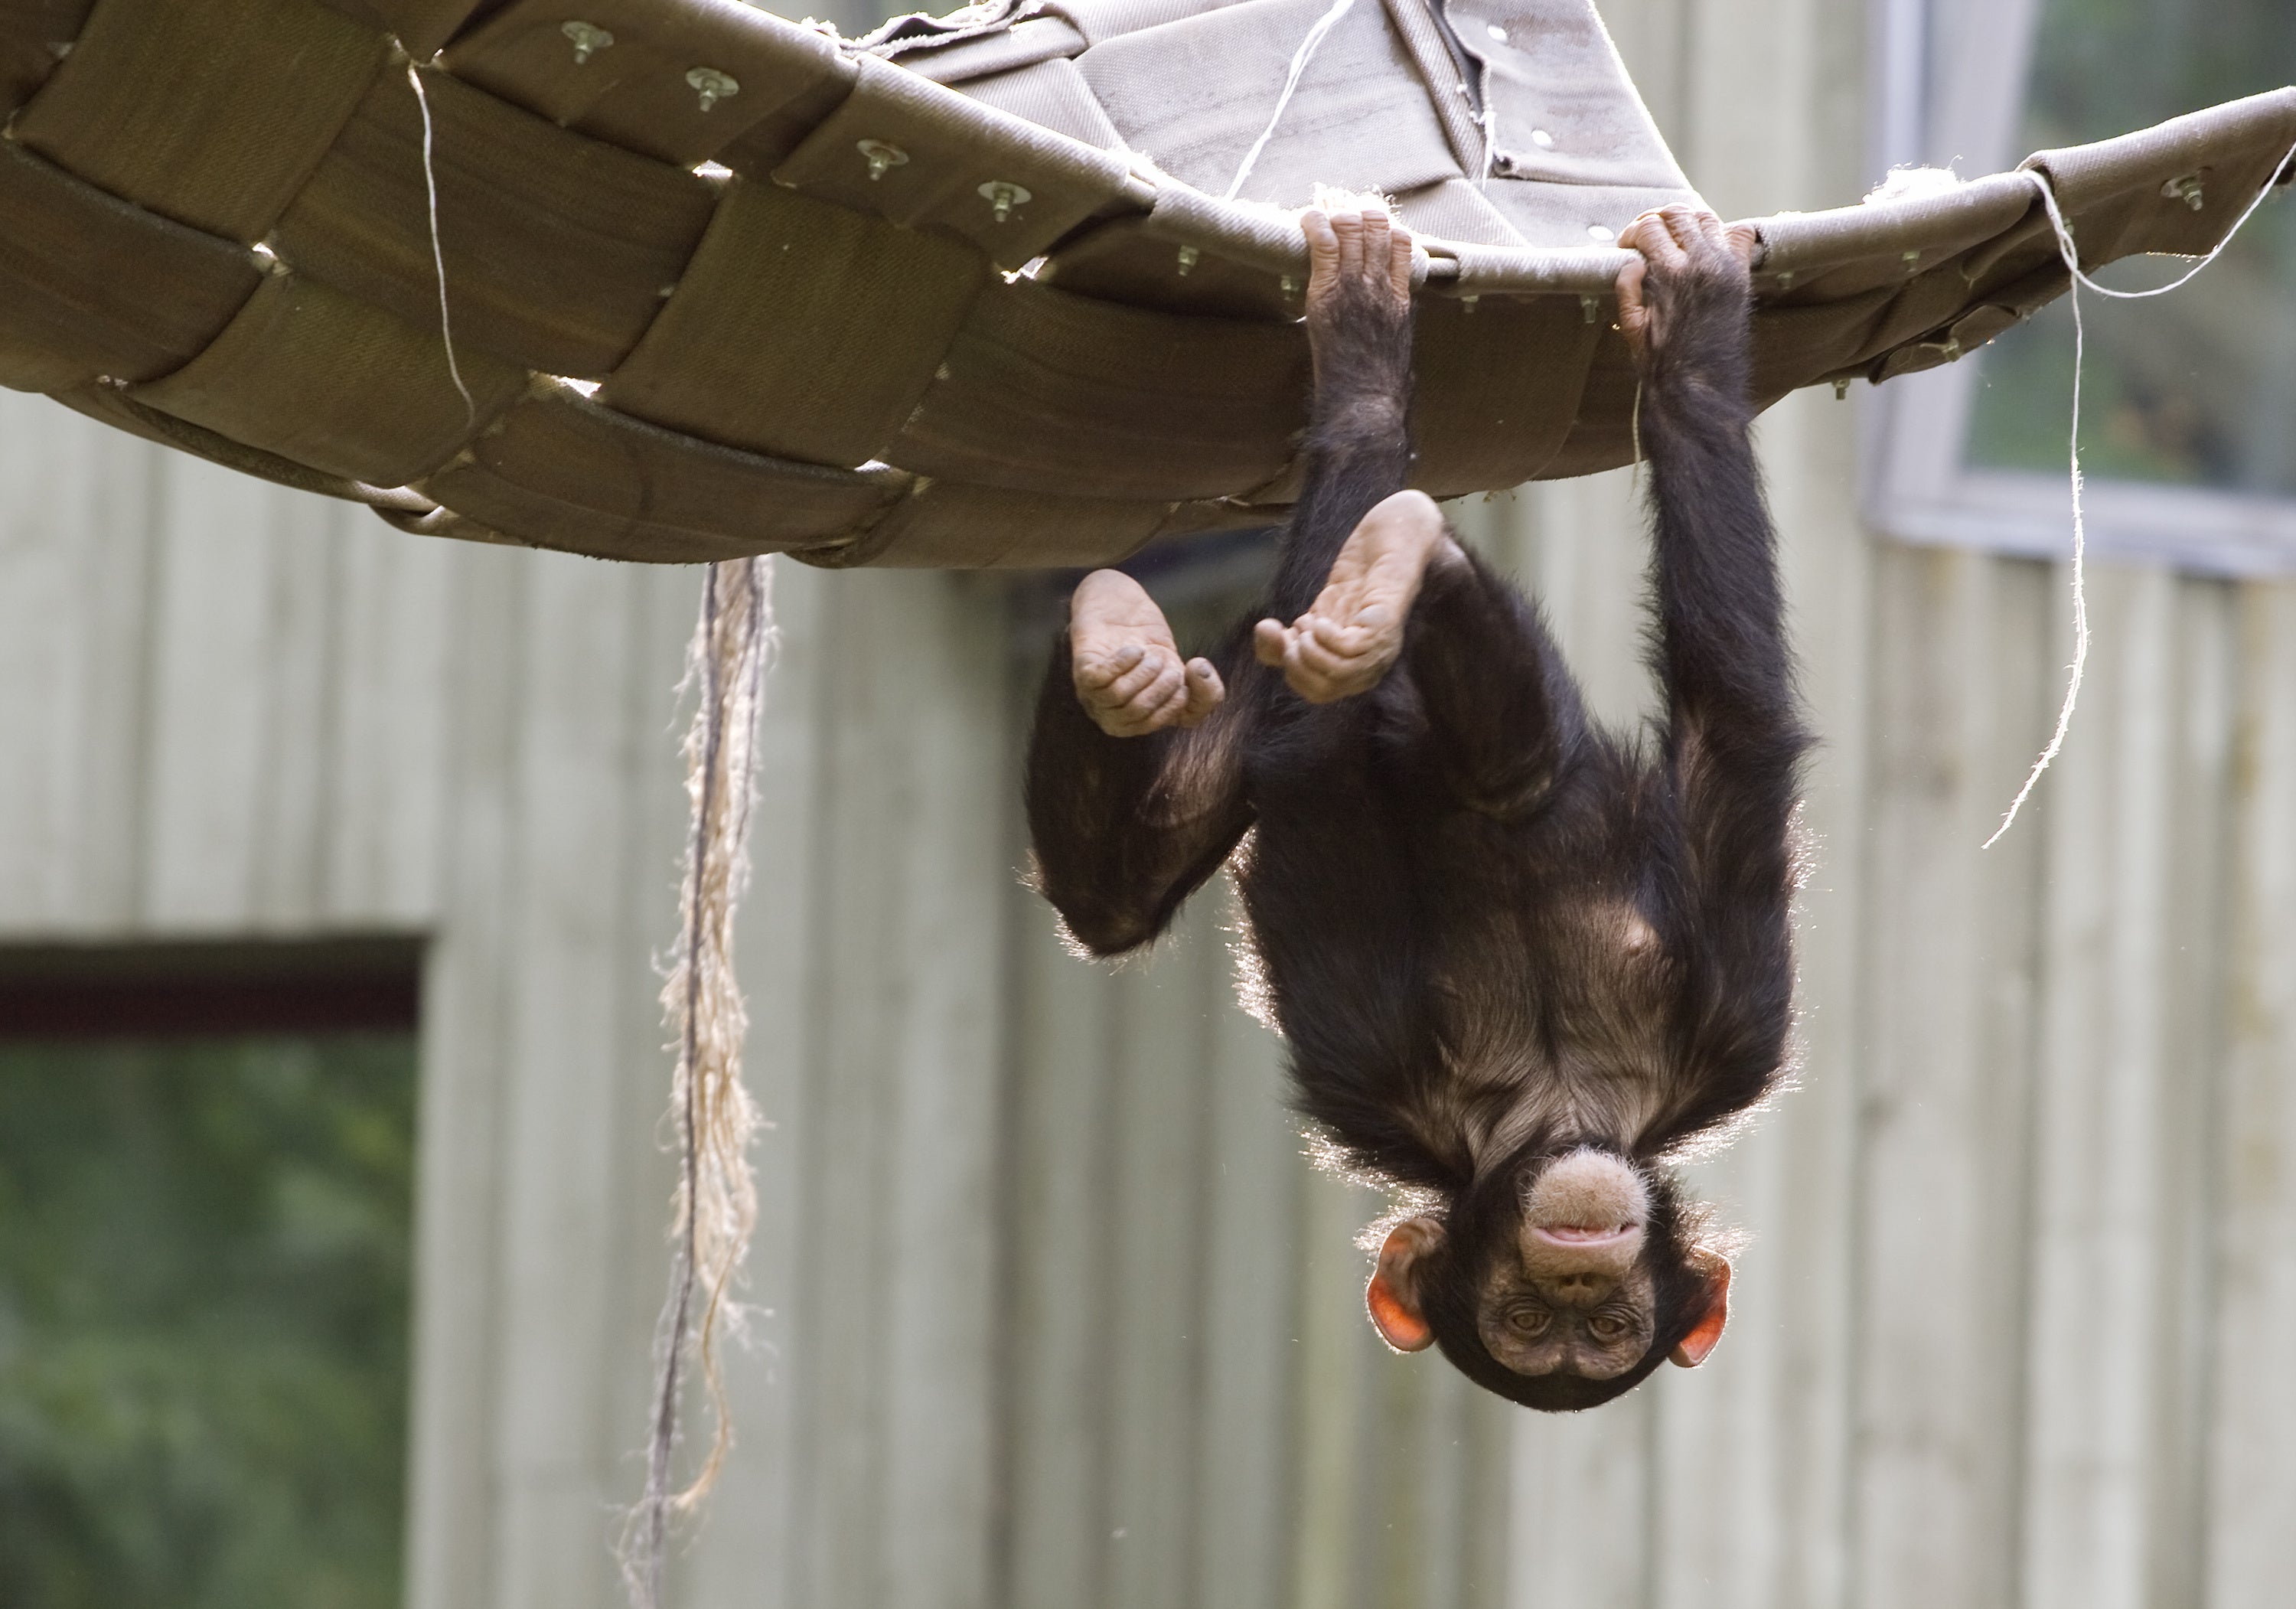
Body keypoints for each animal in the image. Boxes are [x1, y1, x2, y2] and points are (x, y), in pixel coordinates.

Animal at [1029, 204, 1809, 1405]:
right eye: (1529, 1318)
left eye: (1605, 1328)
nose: (1576, 1265)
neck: (1555, 1102)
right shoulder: (1387, 1057)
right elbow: (1734, 708)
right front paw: (1693, 341)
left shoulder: (1731, 1022)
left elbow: (1734, 718)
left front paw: (1688, 347)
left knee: (1129, 883)